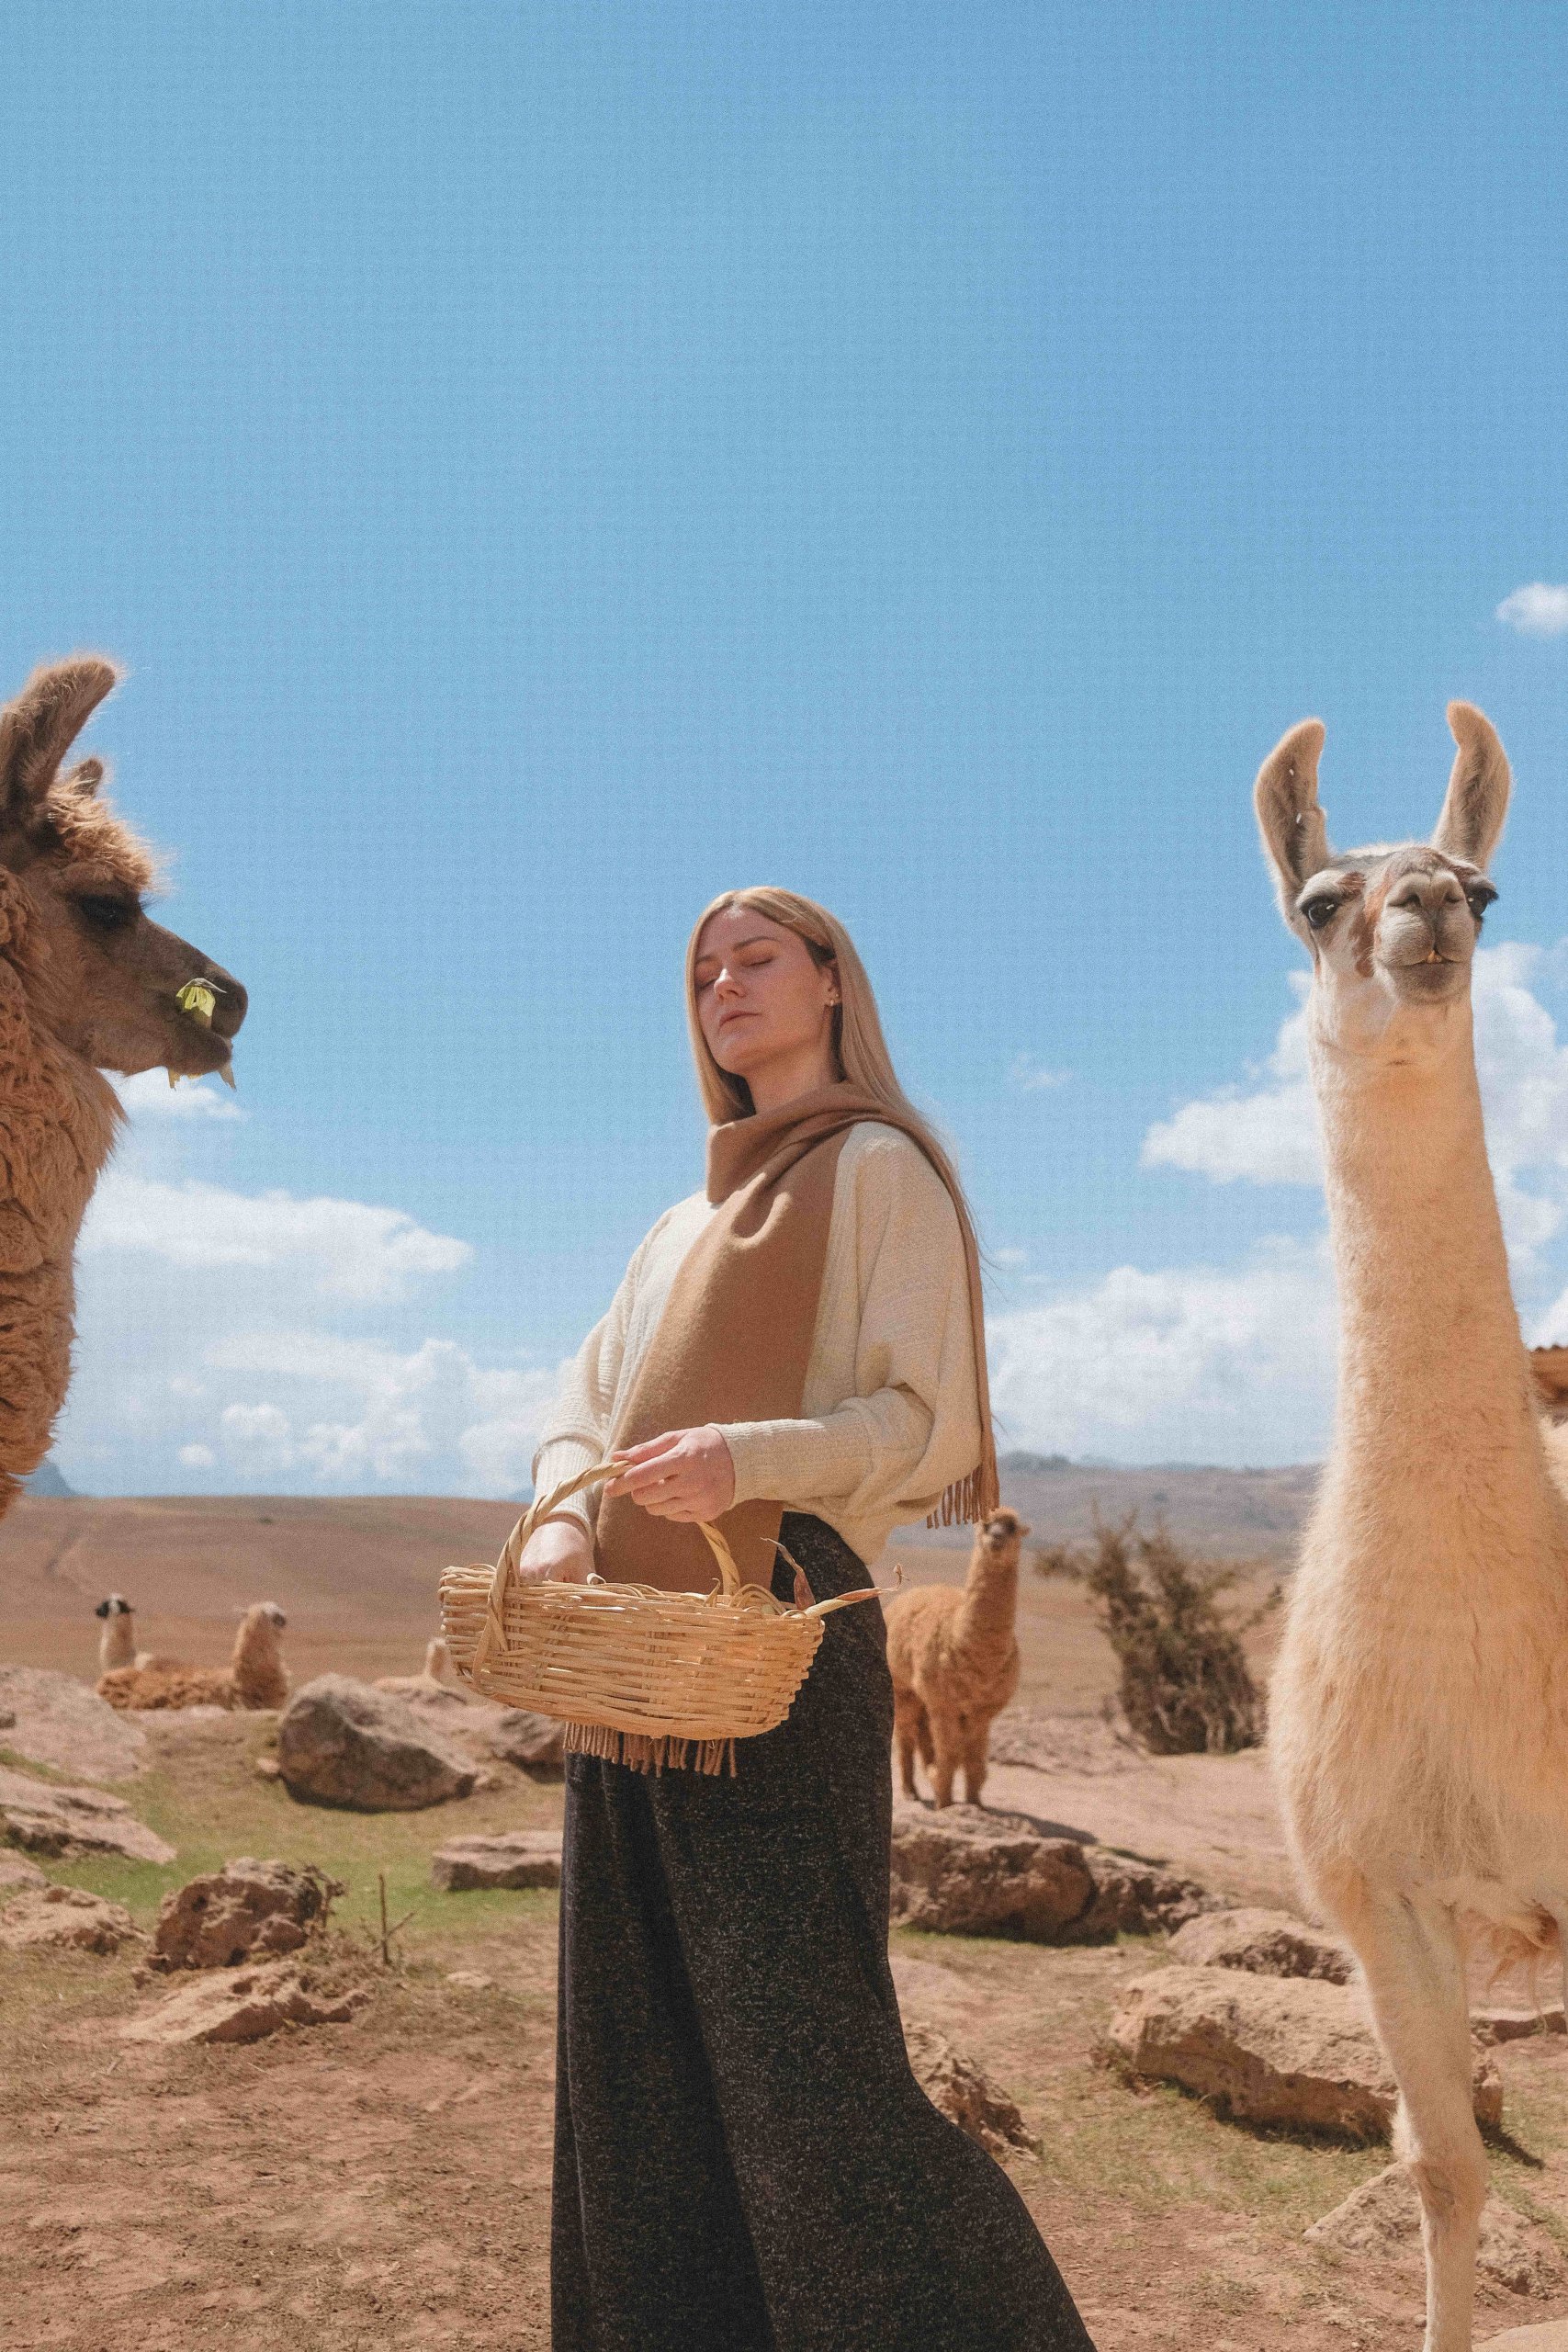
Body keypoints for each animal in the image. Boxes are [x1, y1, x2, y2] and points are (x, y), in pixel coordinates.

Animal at [885, 1508, 1028, 1807]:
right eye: (986, 1525)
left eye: (1011, 1527)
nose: (996, 1538)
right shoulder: (944, 1703)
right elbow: (950, 1754)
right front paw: (945, 1803)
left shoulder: (981, 1709)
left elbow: (973, 1759)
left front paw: (974, 1803)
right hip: (902, 1686)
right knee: (906, 1735)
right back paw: (911, 1791)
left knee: (923, 1735)